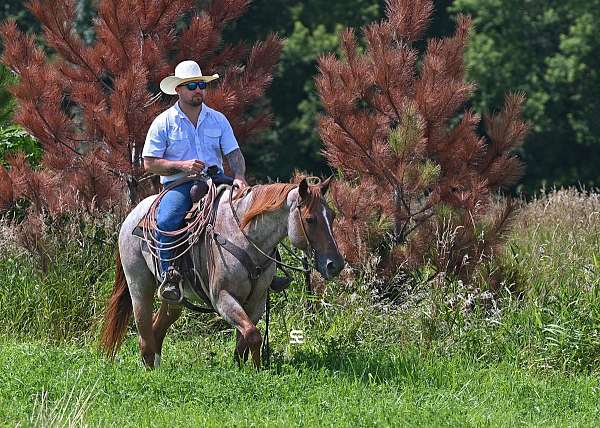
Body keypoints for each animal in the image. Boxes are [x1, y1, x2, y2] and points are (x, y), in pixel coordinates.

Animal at [101, 176, 344, 368]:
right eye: (310, 219)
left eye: (331, 216)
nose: (335, 264)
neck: (244, 236)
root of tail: (131, 216)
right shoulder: (222, 298)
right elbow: (253, 335)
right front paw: (257, 372)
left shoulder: (256, 301)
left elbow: (244, 340)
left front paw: (243, 369)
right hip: (139, 286)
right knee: (144, 334)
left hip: (173, 299)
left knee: (158, 327)